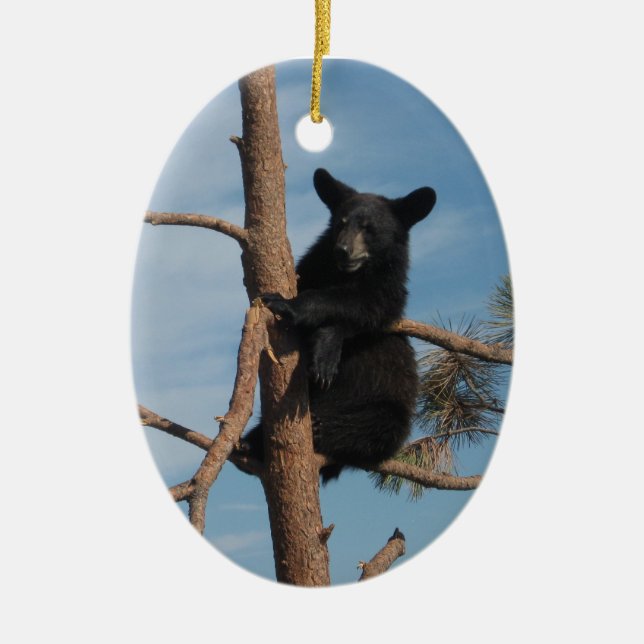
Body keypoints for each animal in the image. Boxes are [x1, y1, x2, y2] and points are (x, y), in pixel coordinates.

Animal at [237, 168, 436, 482]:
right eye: (340, 223)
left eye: (369, 228)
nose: (343, 250)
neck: (344, 274)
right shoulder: (313, 268)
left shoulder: (387, 292)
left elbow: (363, 307)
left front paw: (295, 312)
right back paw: (249, 443)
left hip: (387, 409)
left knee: (374, 429)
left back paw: (320, 427)